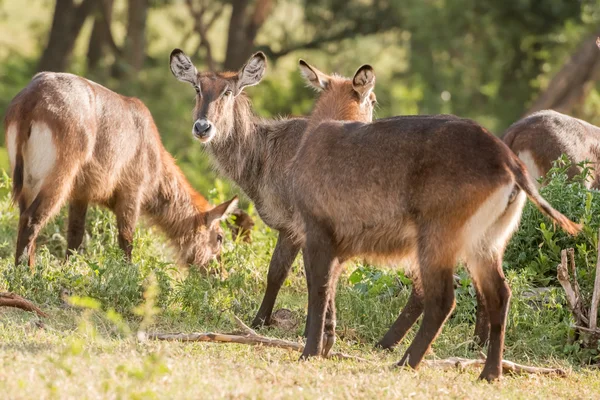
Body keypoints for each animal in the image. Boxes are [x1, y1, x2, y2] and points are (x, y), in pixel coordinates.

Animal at [3, 73, 244, 270]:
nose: (220, 274)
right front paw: (129, 275)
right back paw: (27, 273)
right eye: (220, 237)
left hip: (29, 181)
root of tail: (33, 96)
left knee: (24, 219)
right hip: (58, 178)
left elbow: (75, 235)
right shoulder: (132, 191)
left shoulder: (81, 193)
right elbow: (126, 239)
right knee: (31, 220)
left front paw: (66, 269)